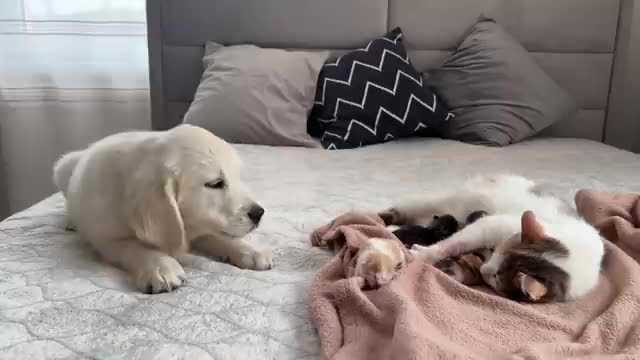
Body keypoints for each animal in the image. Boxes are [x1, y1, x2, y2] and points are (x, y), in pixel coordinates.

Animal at [51, 125, 268, 294]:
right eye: (215, 183)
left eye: (238, 176)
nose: (259, 213)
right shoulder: (106, 238)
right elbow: (135, 246)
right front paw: (160, 266)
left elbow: (215, 235)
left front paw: (248, 250)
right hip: (62, 168)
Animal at [380, 174, 604, 300]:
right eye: (500, 252)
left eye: (497, 278)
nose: (485, 270)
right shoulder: (492, 224)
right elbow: (455, 243)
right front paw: (423, 254)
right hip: (442, 200)